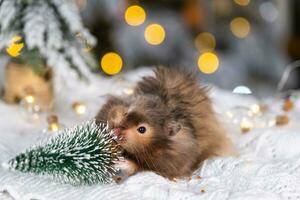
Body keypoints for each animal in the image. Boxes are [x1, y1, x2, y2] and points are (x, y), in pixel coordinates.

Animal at [95, 67, 234, 181]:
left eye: (142, 129)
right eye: (125, 113)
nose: (115, 132)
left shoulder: (167, 164)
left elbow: (139, 165)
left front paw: (122, 163)